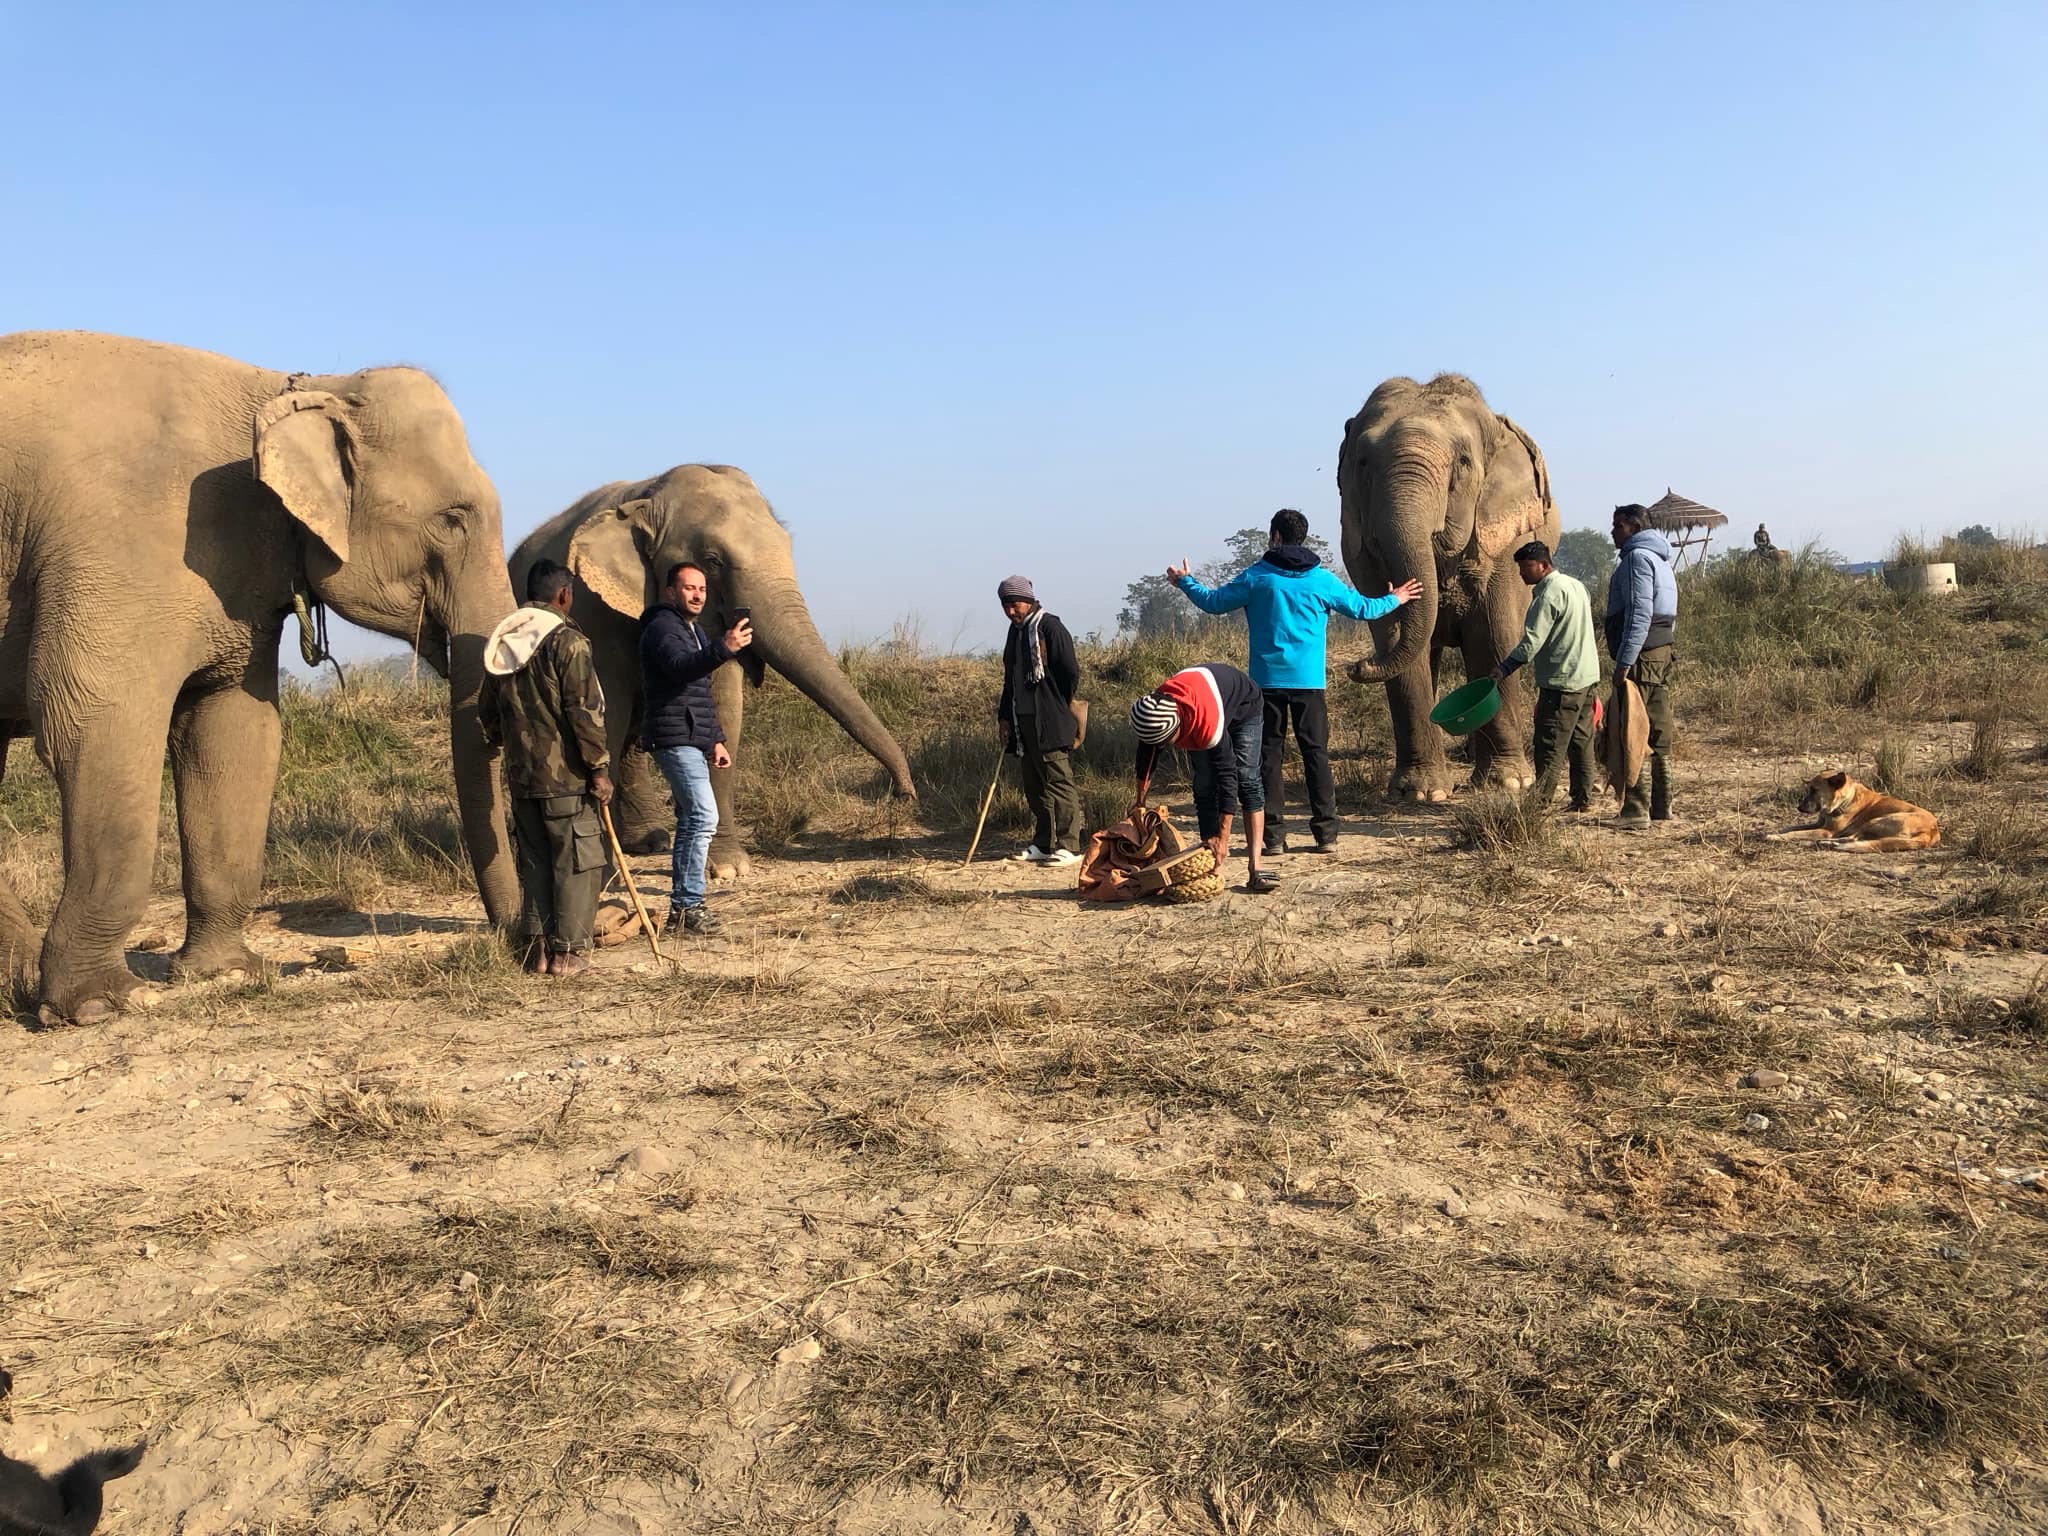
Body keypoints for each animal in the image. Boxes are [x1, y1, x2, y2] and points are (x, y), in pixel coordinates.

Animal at [0, 331, 520, 1024]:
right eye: (453, 518)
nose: (519, 940)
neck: (287, 387)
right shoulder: (118, 548)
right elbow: (96, 723)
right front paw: (101, 1006)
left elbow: (237, 732)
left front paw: (227, 974)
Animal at [503, 462, 913, 876]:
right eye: (713, 560)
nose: (902, 793)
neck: (649, 498)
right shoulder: (594, 607)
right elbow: (604, 706)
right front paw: (609, 872)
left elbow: (722, 705)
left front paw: (728, 868)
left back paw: (649, 841)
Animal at [1335, 376, 1556, 798]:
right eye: (1363, 462)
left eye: (1463, 463)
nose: (1357, 665)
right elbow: (1395, 640)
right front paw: (1420, 793)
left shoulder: (1501, 537)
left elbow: (1493, 639)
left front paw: (1508, 783)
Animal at [1769, 770, 1941, 856]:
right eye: (1808, 790)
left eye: (1815, 790)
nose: (1799, 808)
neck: (1846, 800)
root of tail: (1932, 831)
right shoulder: (1819, 824)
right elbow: (1793, 828)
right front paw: (1778, 831)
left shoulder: (1826, 831)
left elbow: (1796, 833)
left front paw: (1774, 837)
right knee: (1852, 839)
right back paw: (1823, 844)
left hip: (1876, 821)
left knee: (1853, 839)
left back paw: (1820, 843)